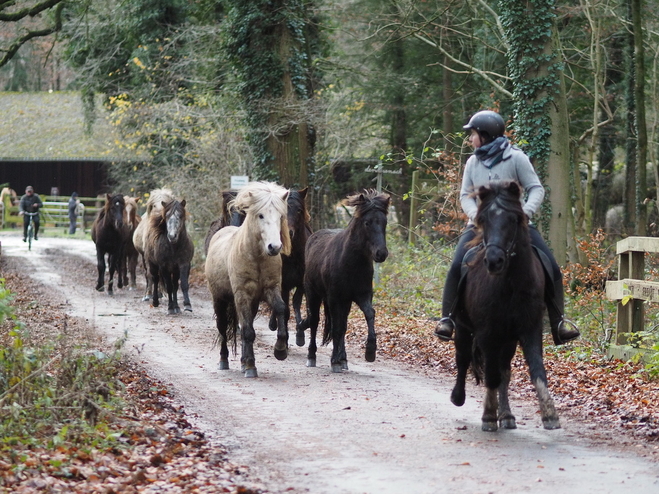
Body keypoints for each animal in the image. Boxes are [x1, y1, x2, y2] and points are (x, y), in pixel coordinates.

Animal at [205, 181, 290, 378]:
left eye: (280, 216)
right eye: (261, 215)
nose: (274, 247)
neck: (256, 257)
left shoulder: (271, 288)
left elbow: (280, 308)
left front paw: (280, 350)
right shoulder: (242, 294)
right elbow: (248, 332)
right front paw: (251, 366)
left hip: (252, 302)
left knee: (245, 325)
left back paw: (243, 362)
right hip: (219, 300)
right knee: (223, 328)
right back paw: (224, 361)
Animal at [306, 191, 392, 372]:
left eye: (384, 222)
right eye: (367, 222)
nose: (381, 253)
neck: (351, 264)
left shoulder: (361, 296)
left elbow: (368, 314)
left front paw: (369, 352)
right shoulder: (334, 298)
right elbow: (336, 328)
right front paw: (334, 361)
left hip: (344, 302)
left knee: (342, 324)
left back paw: (343, 359)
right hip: (313, 294)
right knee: (315, 321)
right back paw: (311, 357)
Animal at [448, 181, 564, 432]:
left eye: (512, 219)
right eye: (483, 219)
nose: (494, 261)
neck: (510, 284)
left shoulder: (530, 329)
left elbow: (536, 369)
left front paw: (550, 414)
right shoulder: (487, 333)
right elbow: (491, 375)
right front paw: (489, 416)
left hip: (508, 339)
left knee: (504, 371)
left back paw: (507, 415)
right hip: (463, 328)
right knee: (463, 357)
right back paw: (458, 396)